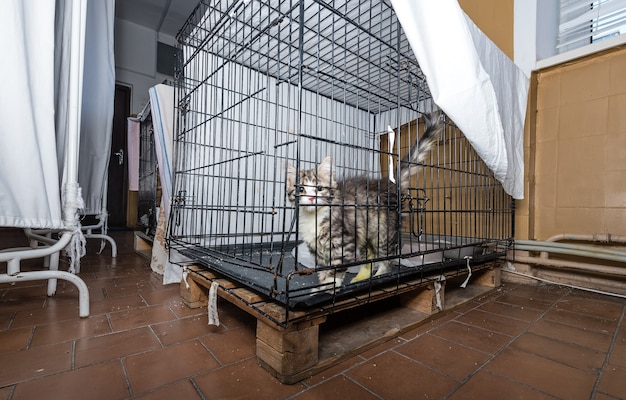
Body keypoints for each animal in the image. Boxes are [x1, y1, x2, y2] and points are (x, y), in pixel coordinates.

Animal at [286, 112, 442, 290]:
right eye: (300, 189)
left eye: (319, 188)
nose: (312, 198)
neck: (314, 218)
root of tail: (388, 183)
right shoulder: (318, 250)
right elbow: (323, 270)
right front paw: (322, 285)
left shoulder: (344, 244)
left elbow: (336, 269)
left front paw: (331, 287)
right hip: (368, 230)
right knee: (371, 256)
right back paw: (361, 277)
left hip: (384, 232)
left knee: (388, 259)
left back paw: (380, 275)